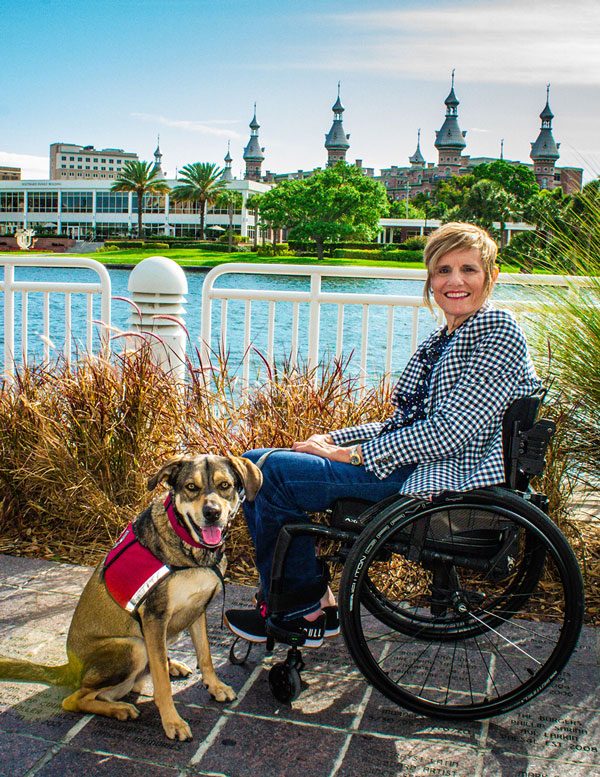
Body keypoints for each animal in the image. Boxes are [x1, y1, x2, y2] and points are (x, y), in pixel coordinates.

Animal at [0, 454, 262, 740]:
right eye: (191, 487)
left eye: (225, 485)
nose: (212, 513)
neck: (190, 550)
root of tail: (71, 667)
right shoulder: (155, 617)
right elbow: (161, 682)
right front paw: (172, 721)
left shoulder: (197, 609)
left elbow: (205, 656)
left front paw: (214, 686)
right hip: (133, 647)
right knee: (75, 699)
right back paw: (119, 709)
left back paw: (167, 668)